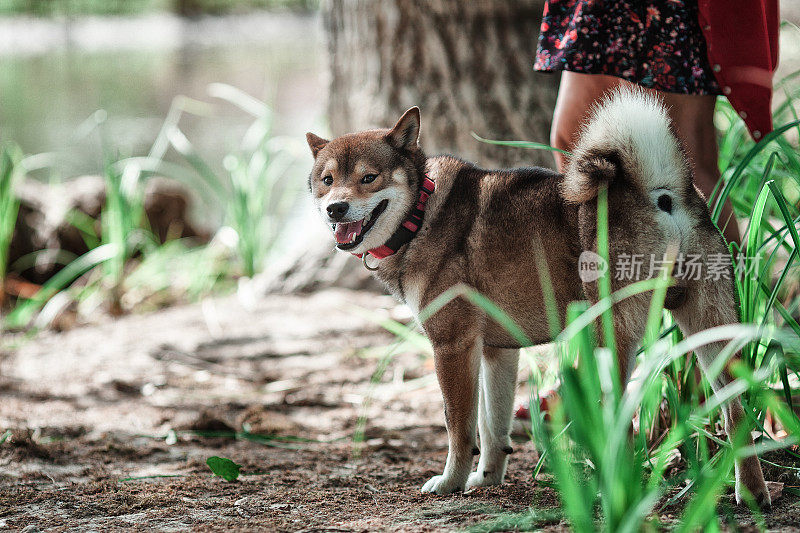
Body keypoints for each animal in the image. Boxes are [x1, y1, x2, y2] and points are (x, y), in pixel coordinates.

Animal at [304, 89, 768, 504]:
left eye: (369, 178)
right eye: (327, 181)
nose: (335, 209)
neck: (421, 212)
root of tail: (661, 194)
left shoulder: (452, 346)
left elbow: (460, 427)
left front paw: (451, 482)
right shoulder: (497, 350)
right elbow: (493, 426)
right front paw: (486, 479)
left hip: (606, 340)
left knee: (625, 421)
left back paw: (613, 492)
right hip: (712, 328)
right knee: (737, 411)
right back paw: (751, 492)